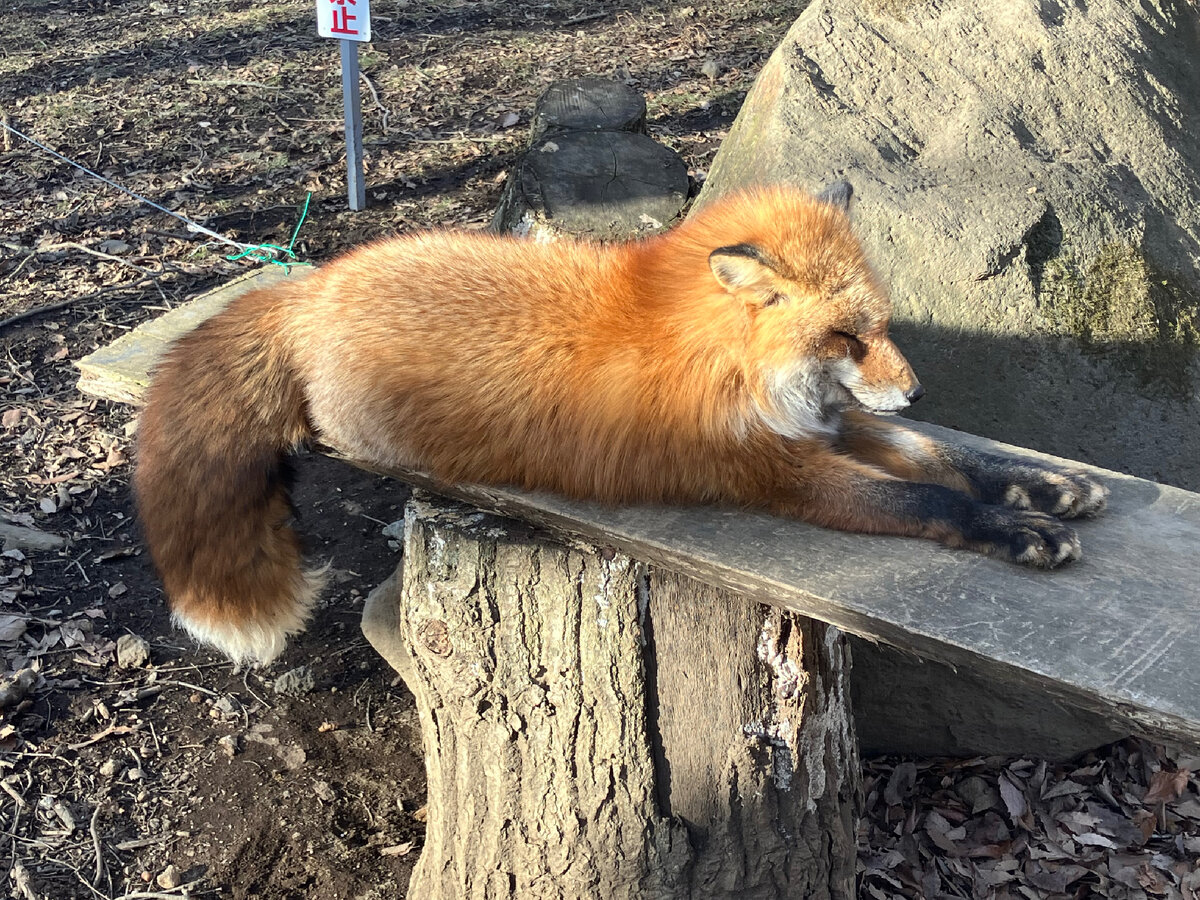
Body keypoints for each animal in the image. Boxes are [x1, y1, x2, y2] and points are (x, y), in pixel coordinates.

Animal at [133, 183, 1104, 667]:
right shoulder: (778, 471)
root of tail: (316, 285)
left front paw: (1042, 485)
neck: (725, 359)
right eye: (846, 336)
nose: (916, 387)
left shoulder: (823, 426)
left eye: (883, 327)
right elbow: (928, 501)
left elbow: (946, 457)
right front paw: (1014, 529)